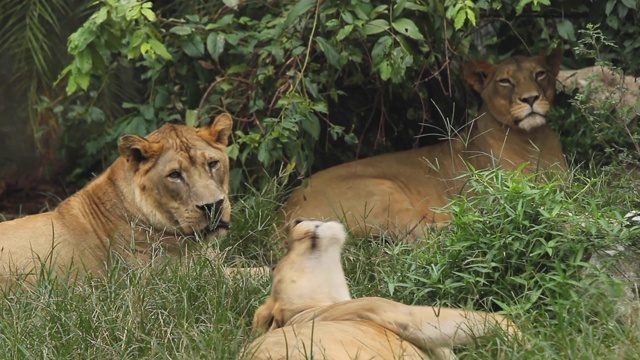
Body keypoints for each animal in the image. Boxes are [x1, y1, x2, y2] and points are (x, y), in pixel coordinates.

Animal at [284, 47, 564, 239]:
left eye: (540, 74)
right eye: (505, 81)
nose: (530, 99)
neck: (532, 139)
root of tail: (282, 212)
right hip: (381, 191)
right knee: (418, 236)